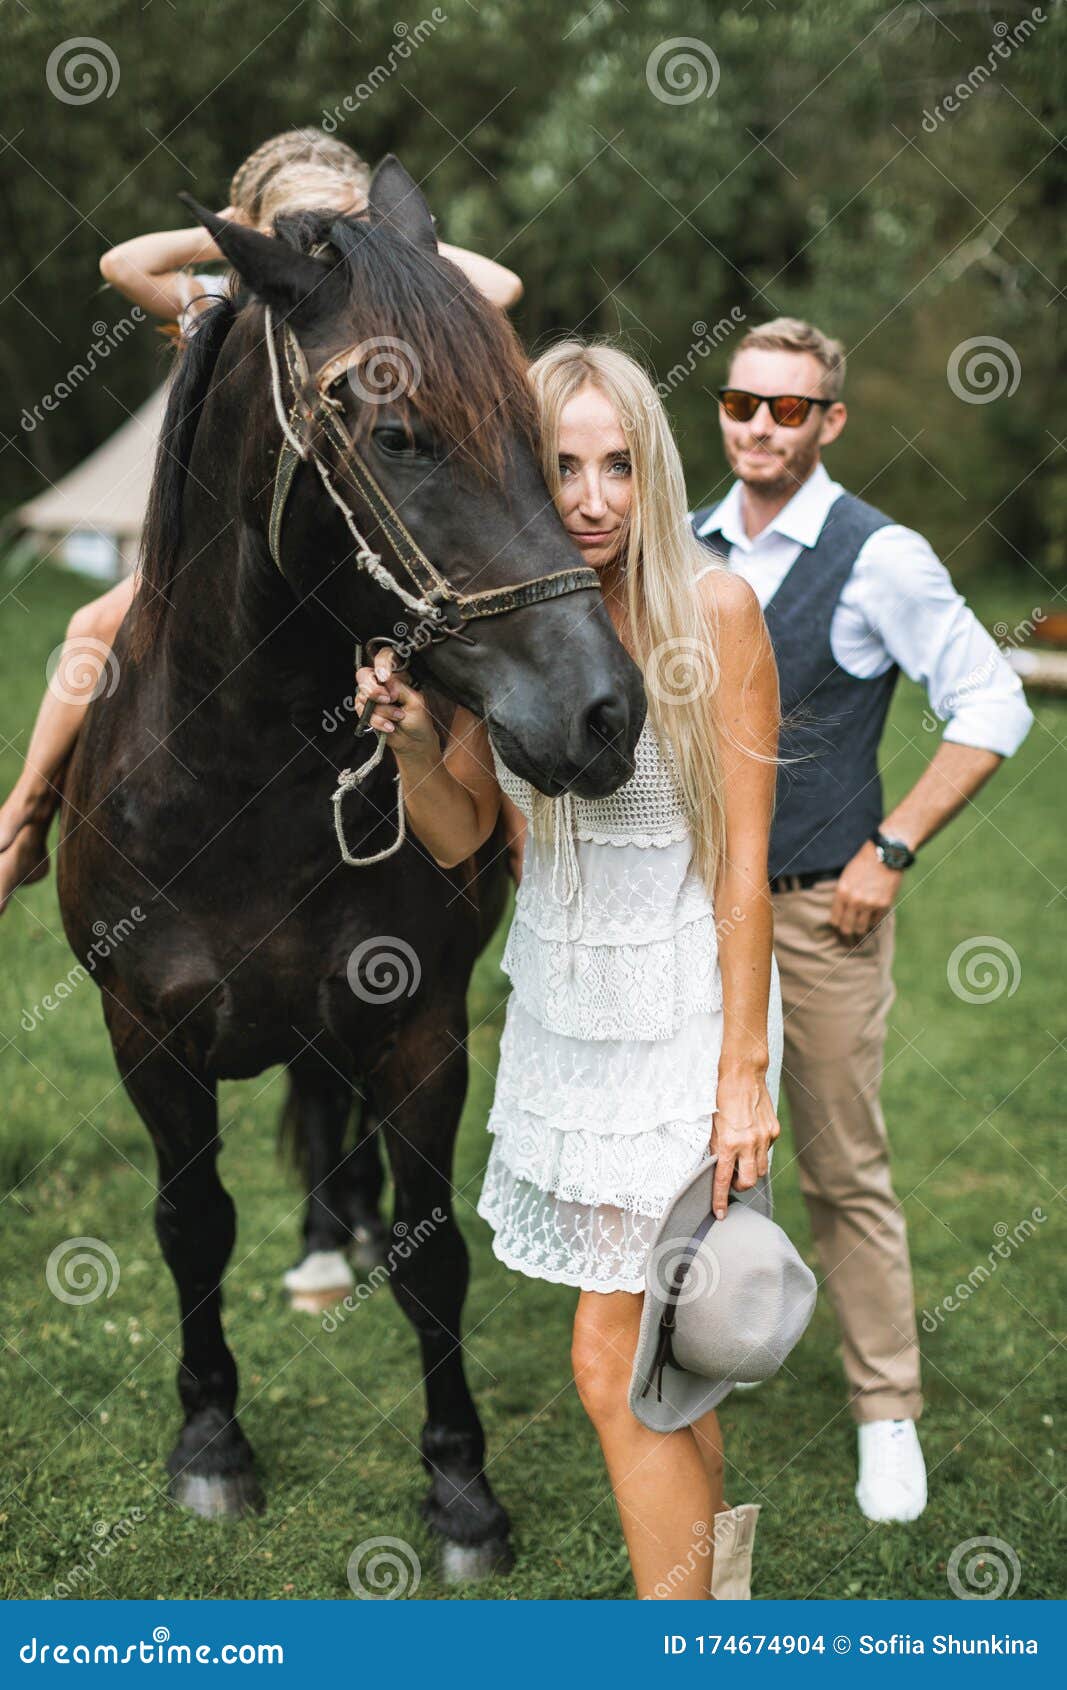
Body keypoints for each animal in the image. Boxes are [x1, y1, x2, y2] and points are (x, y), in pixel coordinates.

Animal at [58, 158, 642, 1568]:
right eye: (397, 435)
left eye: (535, 431)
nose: (603, 714)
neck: (241, 782)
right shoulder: (144, 1036)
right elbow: (191, 1226)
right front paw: (212, 1441)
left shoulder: (418, 1022)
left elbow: (437, 1256)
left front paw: (462, 1489)